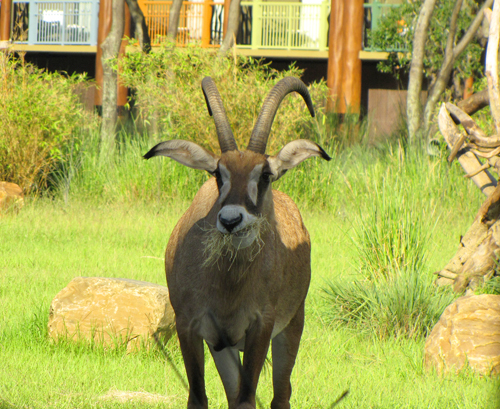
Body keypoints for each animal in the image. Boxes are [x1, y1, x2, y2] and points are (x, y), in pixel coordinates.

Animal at [144, 77, 332, 408]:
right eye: (218, 173)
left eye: (266, 174)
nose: (231, 220)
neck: (228, 285)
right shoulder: (190, 327)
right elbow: (200, 398)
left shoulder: (261, 326)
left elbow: (247, 399)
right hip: (225, 347)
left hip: (291, 325)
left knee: (280, 396)